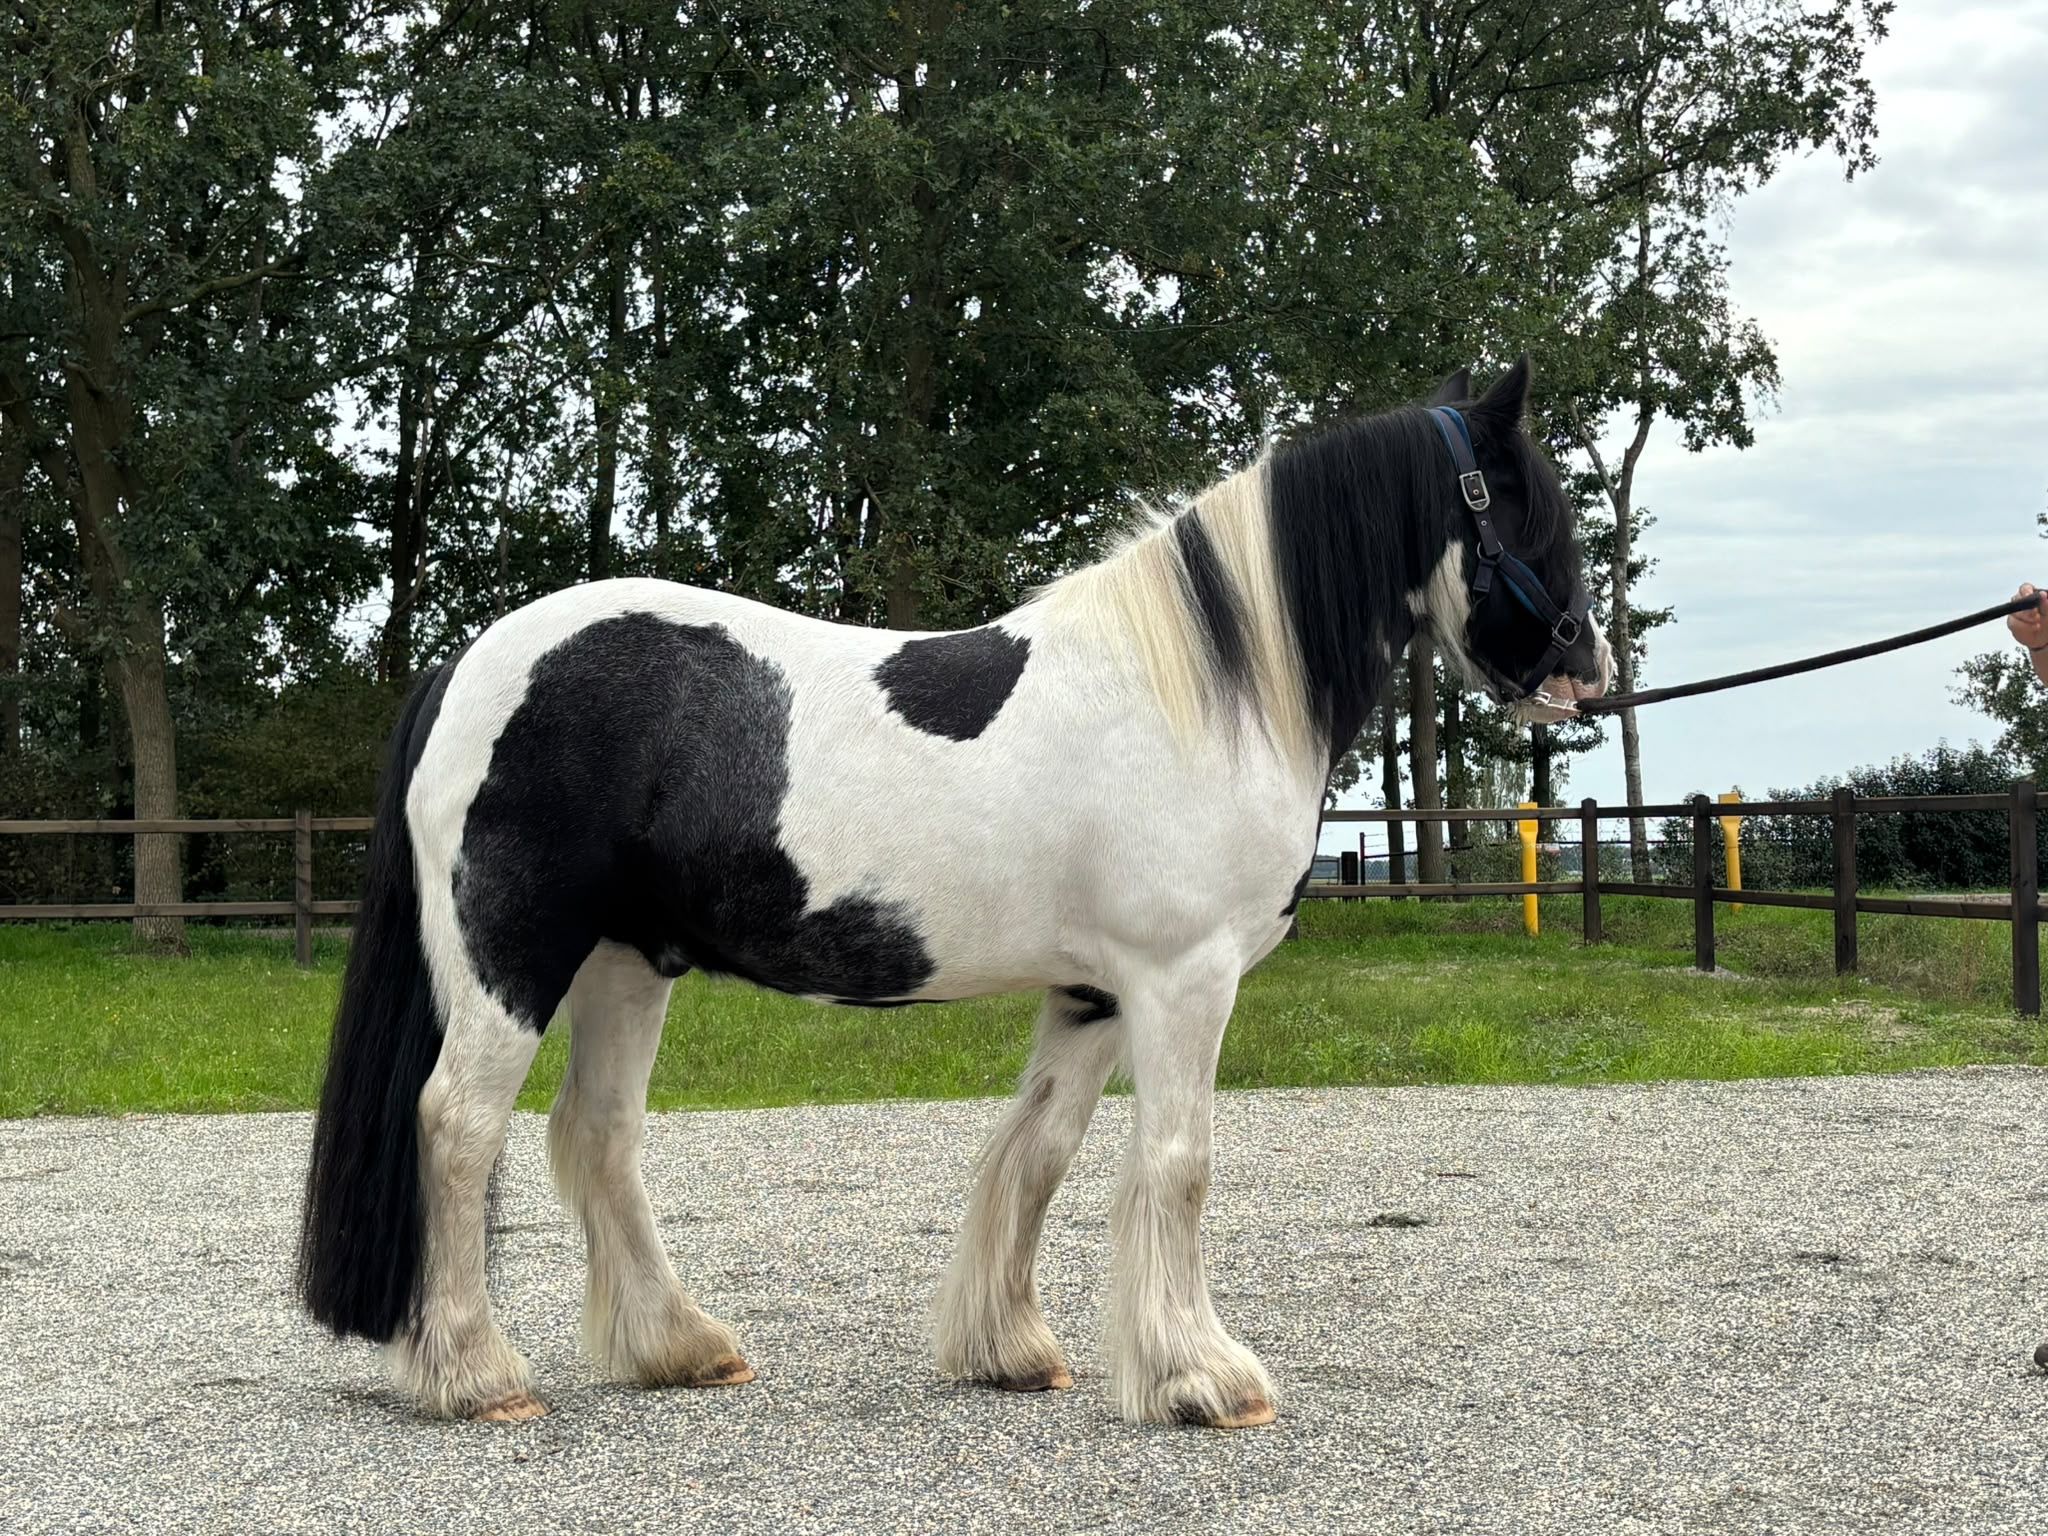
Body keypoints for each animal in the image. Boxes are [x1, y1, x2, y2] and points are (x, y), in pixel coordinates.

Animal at [297, 356, 1610, 1429]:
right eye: (1533, 507)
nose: (1587, 672)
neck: (1200, 693)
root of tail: (468, 665)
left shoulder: (1093, 993)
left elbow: (1037, 1152)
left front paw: (1009, 1350)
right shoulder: (1182, 980)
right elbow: (1176, 1163)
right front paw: (1199, 1377)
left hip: (628, 964)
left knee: (594, 1136)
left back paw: (678, 1347)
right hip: (514, 959)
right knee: (456, 1126)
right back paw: (474, 1374)